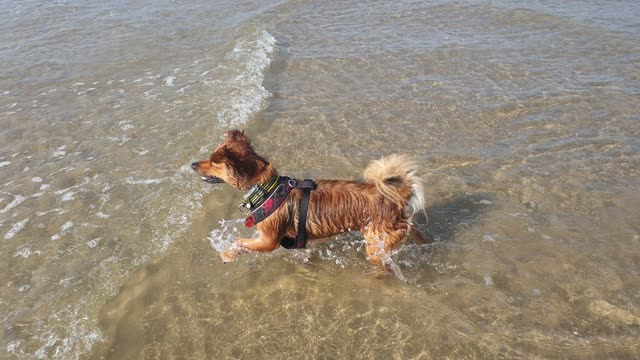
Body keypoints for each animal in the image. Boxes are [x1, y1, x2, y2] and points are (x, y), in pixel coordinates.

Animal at [191, 130, 430, 270]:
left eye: (213, 162)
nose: (192, 164)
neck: (266, 189)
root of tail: (396, 198)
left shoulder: (269, 240)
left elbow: (240, 241)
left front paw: (227, 254)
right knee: (416, 232)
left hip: (376, 244)